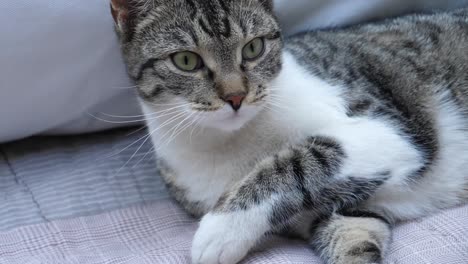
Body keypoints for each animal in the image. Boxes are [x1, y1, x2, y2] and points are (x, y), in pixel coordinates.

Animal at [109, 0, 468, 264]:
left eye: (253, 48)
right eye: (186, 60)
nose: (236, 96)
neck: (233, 142)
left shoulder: (387, 128)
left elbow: (296, 162)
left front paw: (219, 230)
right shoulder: (346, 211)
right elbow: (352, 238)